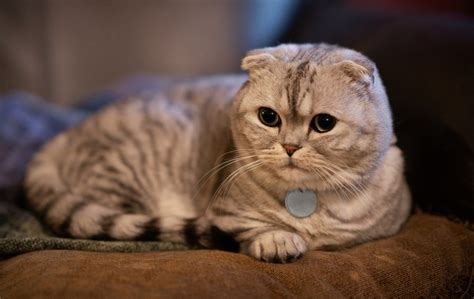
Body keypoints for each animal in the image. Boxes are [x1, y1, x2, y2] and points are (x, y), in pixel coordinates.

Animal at [25, 43, 412, 264]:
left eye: (324, 123)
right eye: (268, 117)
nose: (289, 146)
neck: (307, 202)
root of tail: (66, 135)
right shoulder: (226, 213)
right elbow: (257, 229)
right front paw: (279, 240)